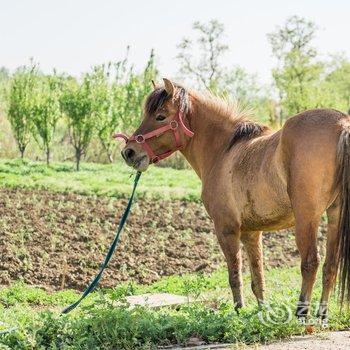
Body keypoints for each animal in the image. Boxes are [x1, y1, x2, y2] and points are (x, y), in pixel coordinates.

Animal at [117, 78, 350, 320]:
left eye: (160, 116)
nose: (129, 152)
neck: (223, 151)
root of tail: (342, 125)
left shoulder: (226, 229)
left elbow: (234, 274)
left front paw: (238, 310)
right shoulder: (251, 232)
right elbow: (258, 278)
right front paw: (262, 312)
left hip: (307, 218)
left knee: (310, 263)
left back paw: (302, 314)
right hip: (335, 215)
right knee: (330, 265)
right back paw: (322, 315)